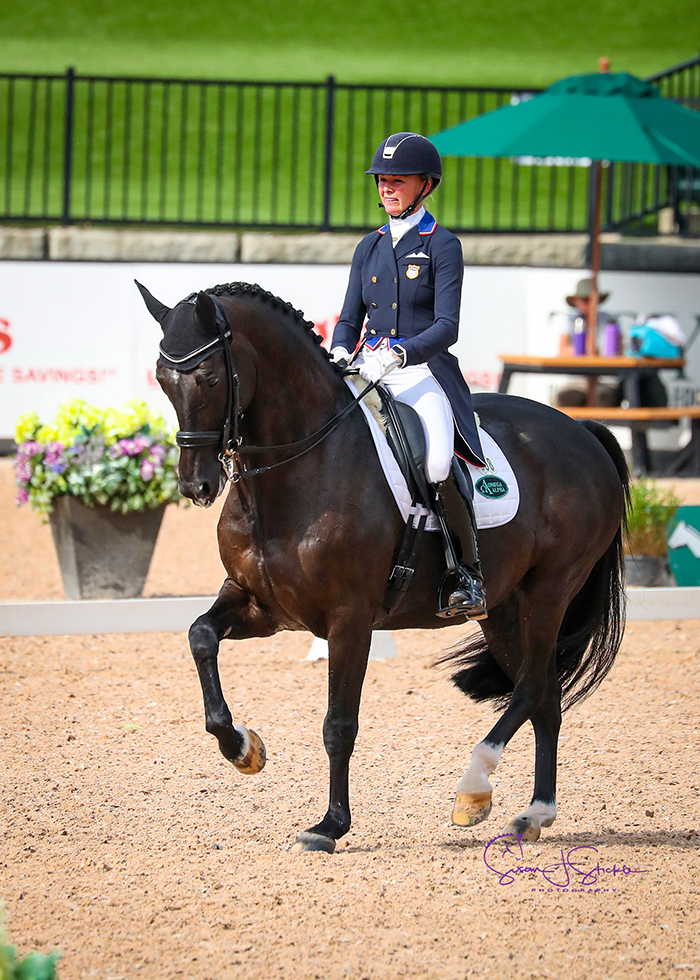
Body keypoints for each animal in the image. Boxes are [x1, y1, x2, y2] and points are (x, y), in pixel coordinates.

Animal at [142, 280, 628, 852]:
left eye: (211, 377)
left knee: (531, 688)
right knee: (545, 695)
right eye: (163, 378)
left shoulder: (349, 619)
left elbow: (338, 724)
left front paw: (330, 825)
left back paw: (473, 789)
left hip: (548, 592)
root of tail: (583, 432)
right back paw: (533, 814)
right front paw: (244, 749)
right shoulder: (261, 605)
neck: (297, 467)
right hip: (504, 607)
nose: (196, 485)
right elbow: (200, 636)